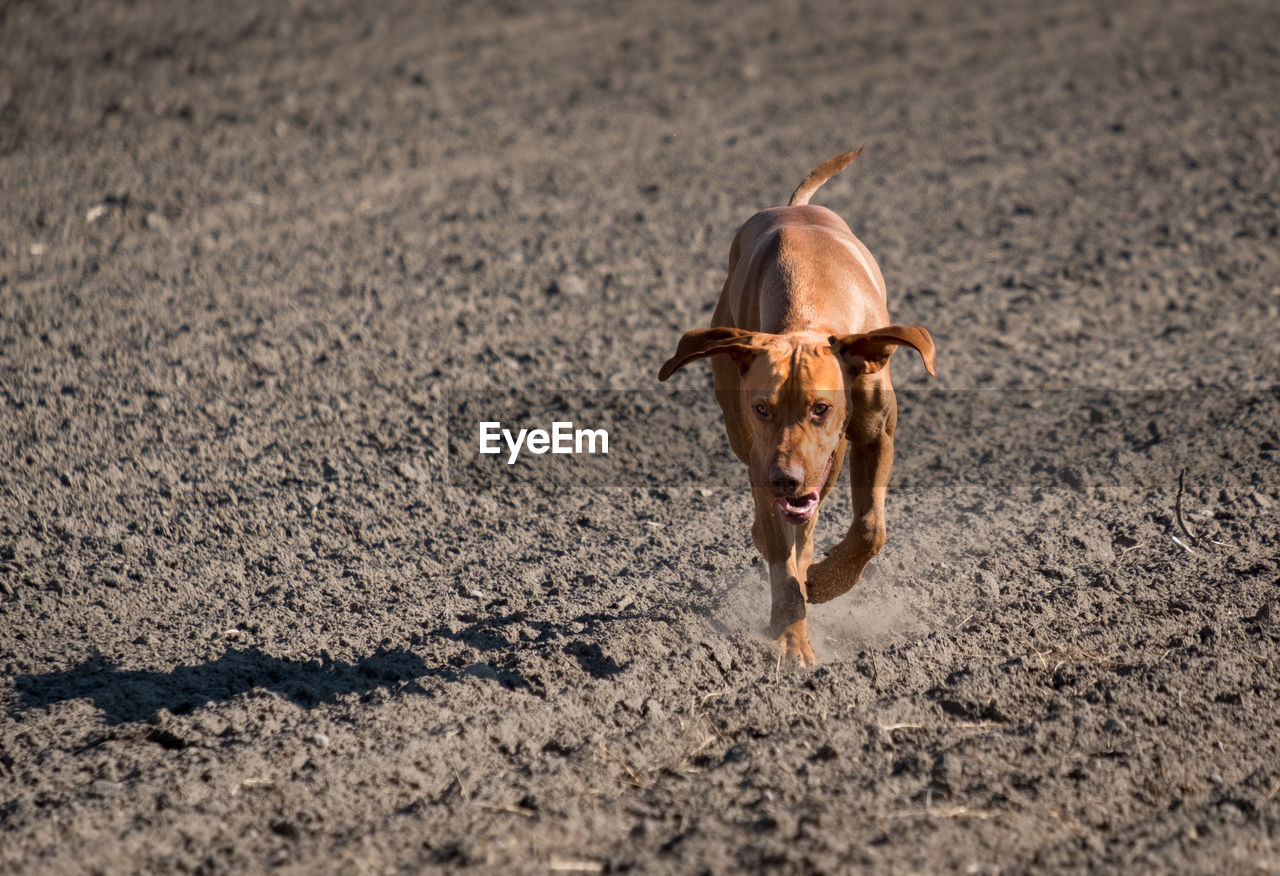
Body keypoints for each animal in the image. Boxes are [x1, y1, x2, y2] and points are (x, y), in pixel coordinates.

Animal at [655, 153, 936, 665]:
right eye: (762, 408)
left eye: (820, 407)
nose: (784, 478)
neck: (810, 310)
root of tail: (794, 206)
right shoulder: (763, 459)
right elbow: (783, 560)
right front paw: (791, 634)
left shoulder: (874, 435)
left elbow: (870, 528)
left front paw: (825, 581)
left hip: (827, 459)